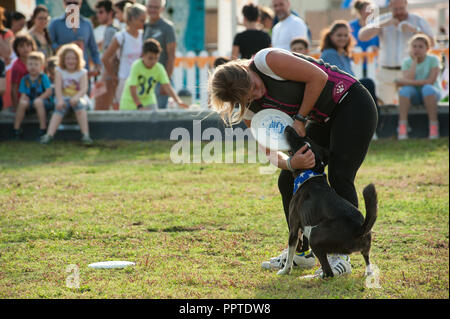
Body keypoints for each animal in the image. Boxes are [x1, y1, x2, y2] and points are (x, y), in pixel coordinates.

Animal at [278, 126, 376, 278]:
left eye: (300, 141)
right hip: (365, 250)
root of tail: (360, 228)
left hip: (315, 235)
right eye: (305, 137)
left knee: (328, 272)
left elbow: (290, 253)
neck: (310, 174)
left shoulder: (294, 226)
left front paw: (285, 270)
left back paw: (311, 277)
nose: (289, 127)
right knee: (367, 262)